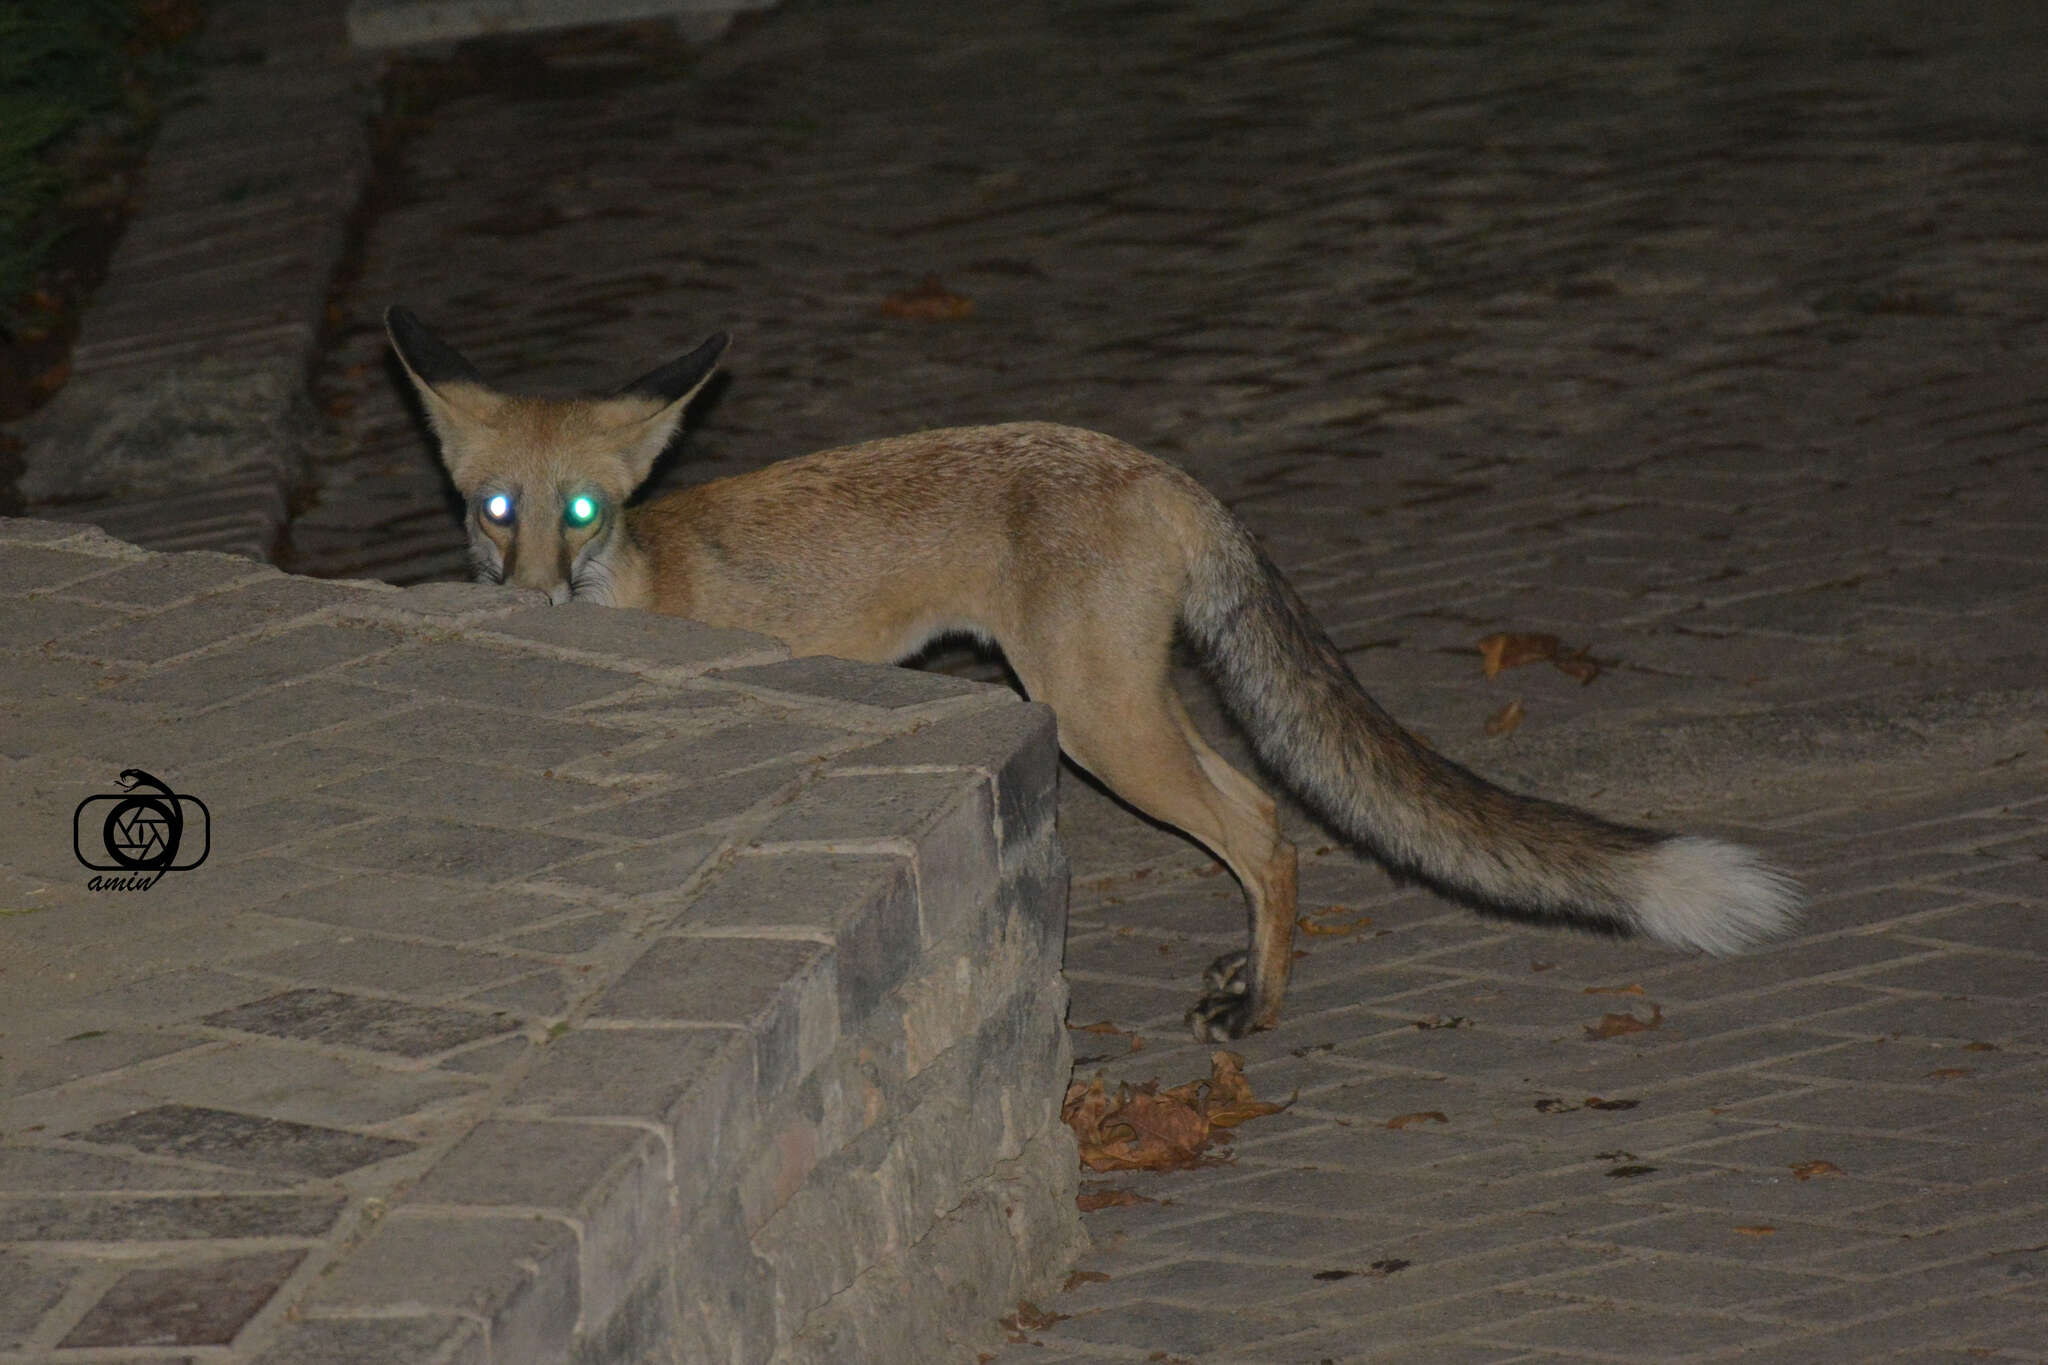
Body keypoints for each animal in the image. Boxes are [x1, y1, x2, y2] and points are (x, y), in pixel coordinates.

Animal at [391, 306, 1802, 1035]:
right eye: (496, 510)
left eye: (582, 513)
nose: (531, 606)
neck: (641, 577)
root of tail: (1167, 475)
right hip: (1116, 707)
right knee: (1259, 814)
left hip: (1088, 723)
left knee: (1263, 828)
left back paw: (1262, 1006)